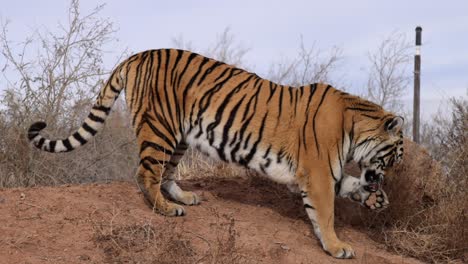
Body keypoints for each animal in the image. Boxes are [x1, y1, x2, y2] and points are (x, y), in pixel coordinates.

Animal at [27, 48, 404, 258]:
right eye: (396, 156)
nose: (388, 178)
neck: (355, 126)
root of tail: (137, 54)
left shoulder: (323, 173)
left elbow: (350, 186)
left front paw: (376, 199)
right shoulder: (317, 174)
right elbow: (325, 214)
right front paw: (337, 247)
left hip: (179, 135)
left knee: (166, 173)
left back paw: (184, 198)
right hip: (160, 127)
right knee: (146, 173)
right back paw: (167, 210)